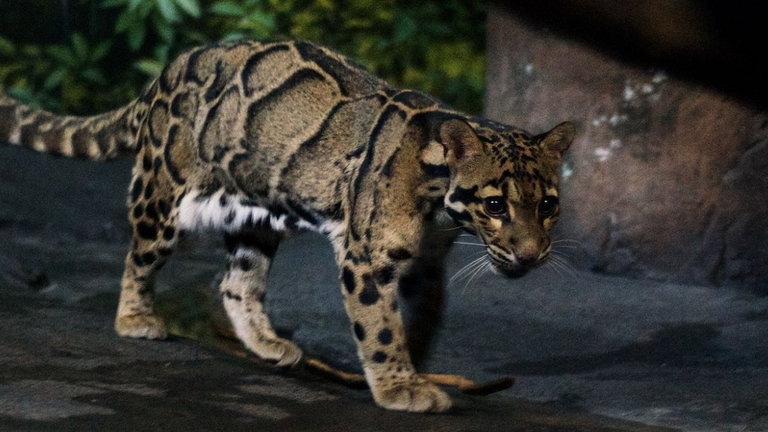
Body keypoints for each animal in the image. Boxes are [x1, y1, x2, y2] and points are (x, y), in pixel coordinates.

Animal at [0, 40, 574, 412]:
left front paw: (413, 368)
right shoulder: (368, 258)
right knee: (138, 256)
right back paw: (136, 317)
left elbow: (419, 320)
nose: (531, 255)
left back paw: (266, 342)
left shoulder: (425, 264)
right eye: (495, 205)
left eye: (548, 204)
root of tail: (169, 70)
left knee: (234, 282)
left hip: (252, 215)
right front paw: (397, 385)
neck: (437, 203)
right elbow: (380, 325)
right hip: (164, 193)